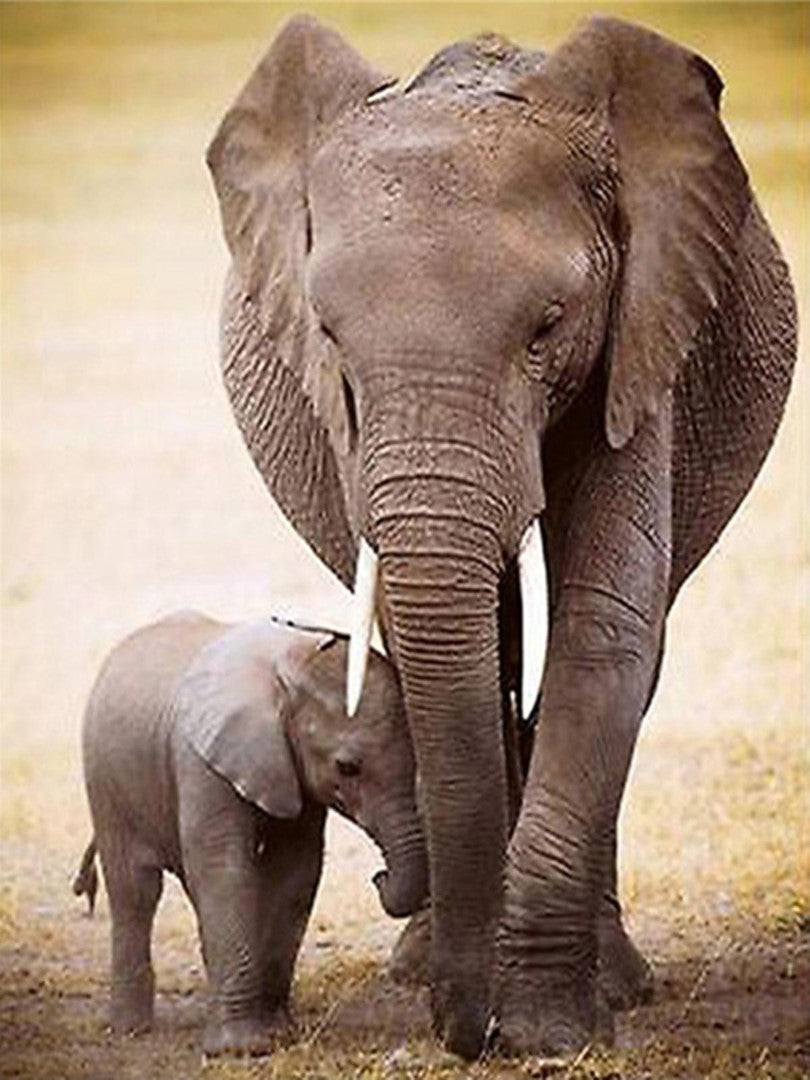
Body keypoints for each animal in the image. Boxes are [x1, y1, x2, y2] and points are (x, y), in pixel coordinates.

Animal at [75, 612, 427, 1057]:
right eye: (347, 768)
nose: (379, 877)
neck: (291, 665)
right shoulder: (202, 760)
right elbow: (224, 868)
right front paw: (241, 1049)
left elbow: (295, 869)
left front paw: (277, 1032)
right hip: (105, 778)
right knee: (134, 890)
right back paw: (129, 1029)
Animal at [206, 15, 797, 1060]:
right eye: (328, 336)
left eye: (548, 327)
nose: (465, 1031)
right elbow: (449, 638)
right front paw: (493, 1005)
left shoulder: (644, 329)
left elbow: (605, 623)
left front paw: (549, 1032)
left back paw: (615, 981)